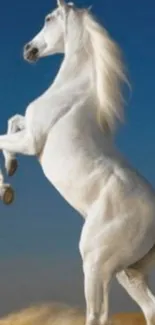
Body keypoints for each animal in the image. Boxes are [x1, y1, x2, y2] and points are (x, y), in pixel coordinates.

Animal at [1, 0, 155, 322]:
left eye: (48, 18)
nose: (28, 49)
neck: (72, 92)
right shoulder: (28, 131)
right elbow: (13, 120)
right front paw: (11, 169)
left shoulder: (31, 141)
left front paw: (5, 188)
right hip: (128, 273)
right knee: (150, 308)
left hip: (96, 265)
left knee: (98, 314)